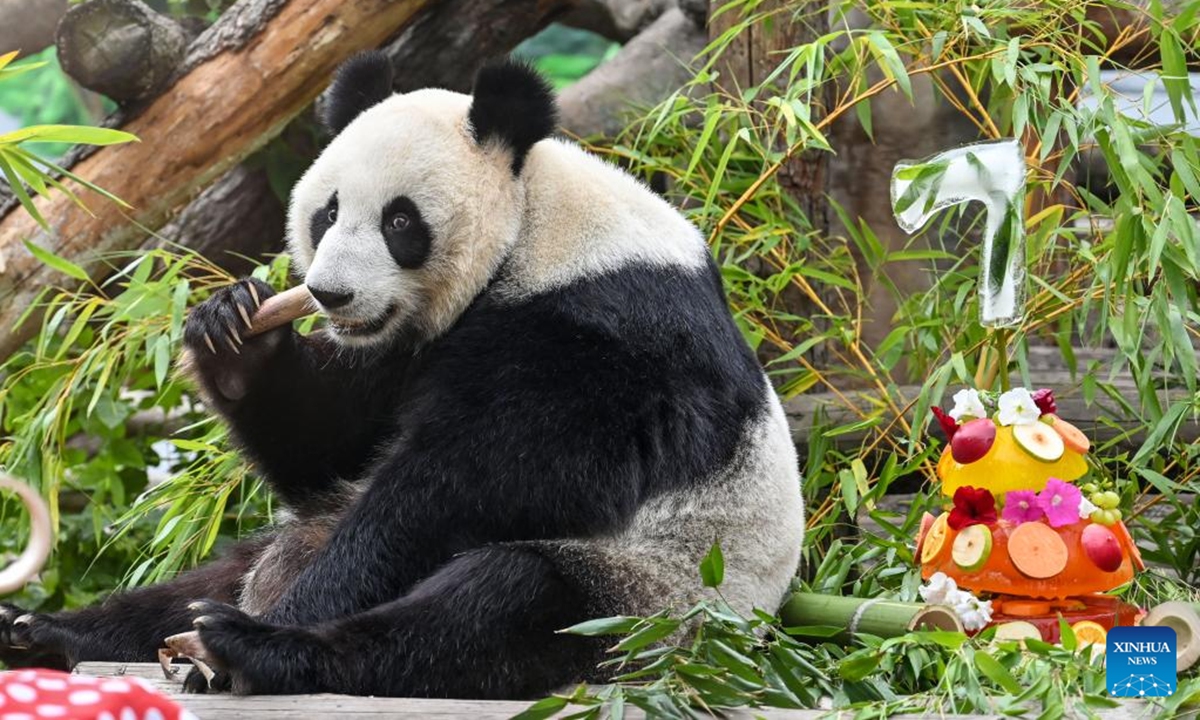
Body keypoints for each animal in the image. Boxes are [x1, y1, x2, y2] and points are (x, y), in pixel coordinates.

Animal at [2, 51, 806, 696]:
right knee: (215, 574)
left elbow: (471, 482)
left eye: (399, 222)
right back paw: (50, 632)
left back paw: (253, 648)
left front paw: (296, 612)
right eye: (327, 213)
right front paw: (234, 331)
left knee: (497, 610)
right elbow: (331, 449)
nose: (330, 295)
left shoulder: (602, 339)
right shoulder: (400, 348)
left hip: (644, 606)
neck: (533, 229)